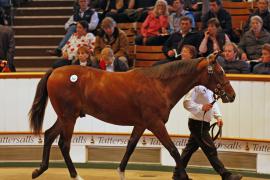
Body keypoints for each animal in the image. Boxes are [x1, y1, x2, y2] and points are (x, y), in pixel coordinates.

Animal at [28, 51, 234, 179]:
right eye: (220, 71)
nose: (232, 95)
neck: (159, 85)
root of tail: (55, 71)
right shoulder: (155, 123)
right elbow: (173, 150)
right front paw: (184, 176)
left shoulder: (141, 124)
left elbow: (130, 146)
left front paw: (120, 171)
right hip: (69, 117)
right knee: (64, 144)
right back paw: (76, 175)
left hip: (65, 117)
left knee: (49, 135)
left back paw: (39, 170)